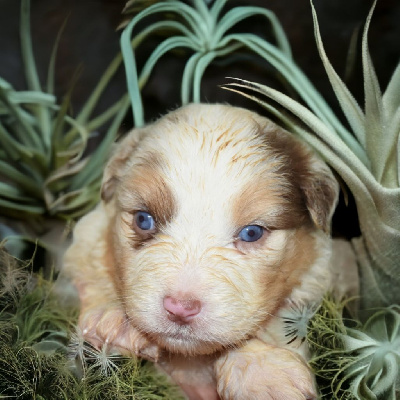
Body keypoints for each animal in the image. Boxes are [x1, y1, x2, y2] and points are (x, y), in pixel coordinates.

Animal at [64, 104, 340, 400]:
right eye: (143, 220)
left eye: (252, 233)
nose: (180, 308)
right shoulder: (89, 234)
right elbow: (92, 266)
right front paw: (113, 319)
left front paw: (264, 374)